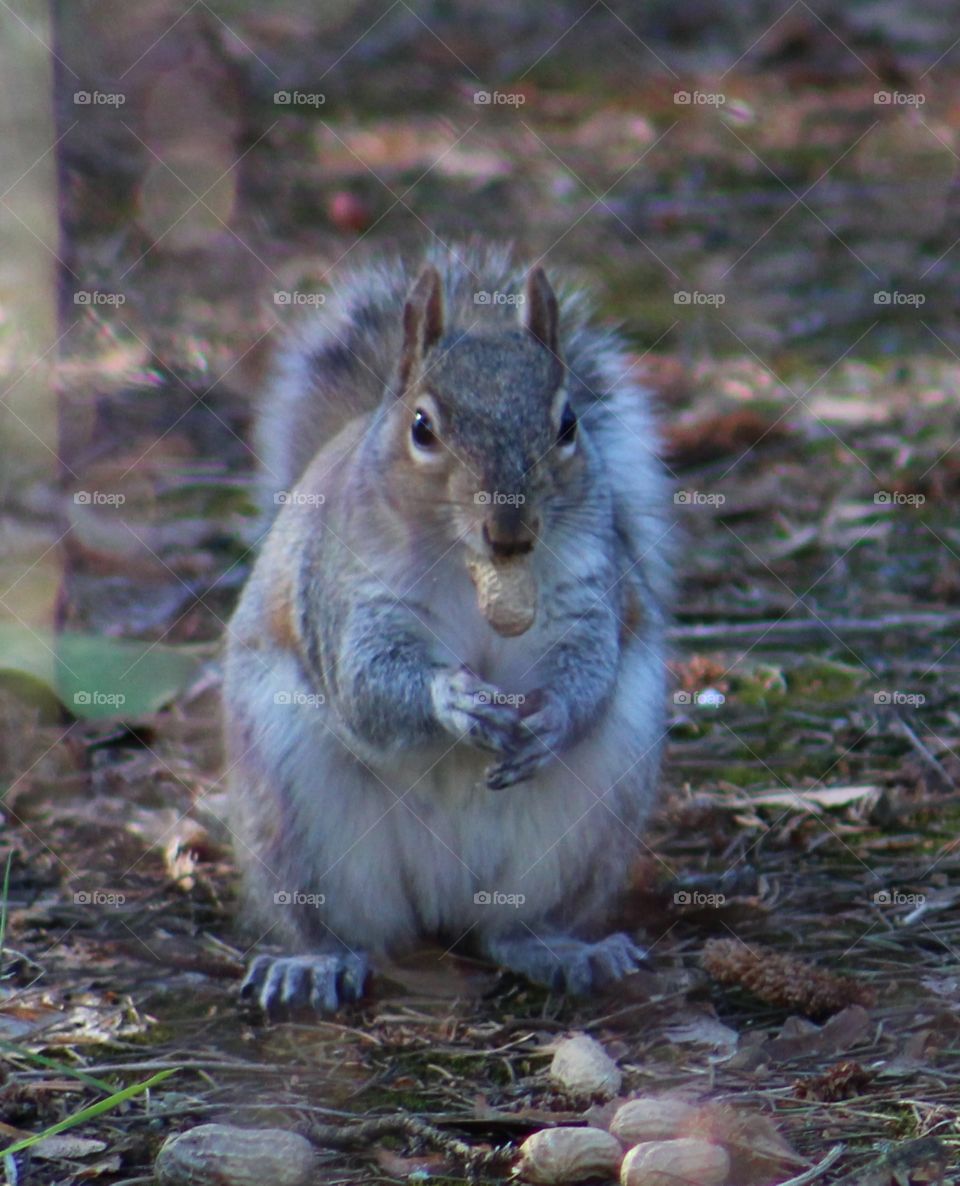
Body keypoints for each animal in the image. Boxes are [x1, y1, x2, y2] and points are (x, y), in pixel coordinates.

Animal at [224, 243, 669, 1019]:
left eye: (569, 424)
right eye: (423, 429)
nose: (511, 530)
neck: (470, 569)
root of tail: (442, 896)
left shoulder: (588, 592)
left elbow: (590, 662)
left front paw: (553, 717)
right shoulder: (350, 598)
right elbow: (366, 684)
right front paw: (455, 701)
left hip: (592, 816)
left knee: (508, 929)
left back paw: (562, 951)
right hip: (291, 812)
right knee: (342, 926)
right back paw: (316, 962)